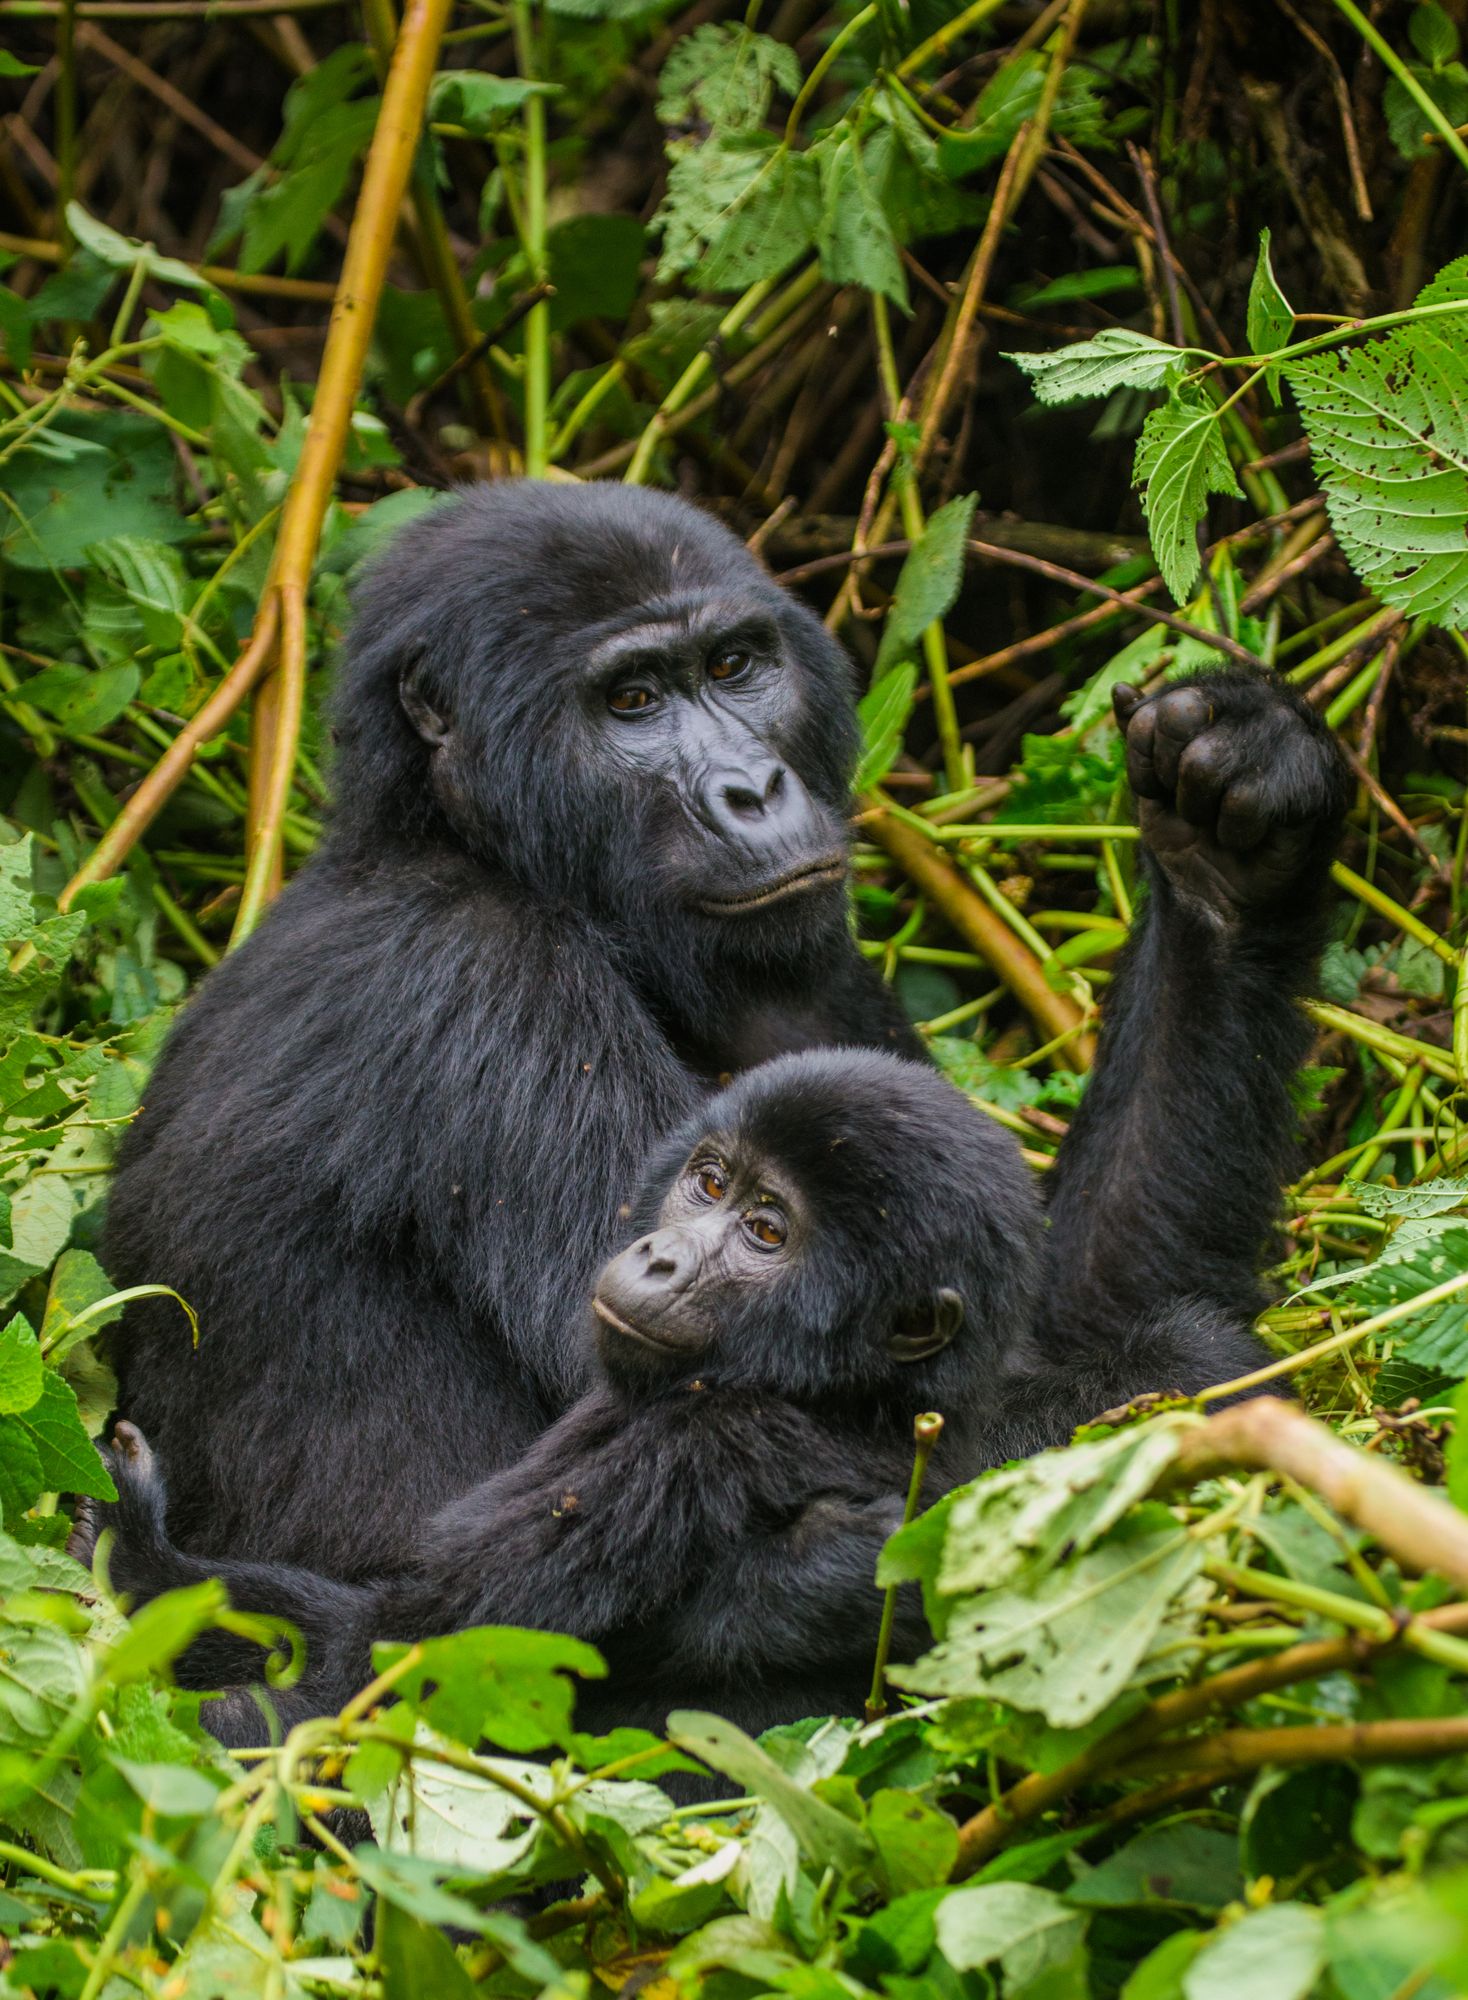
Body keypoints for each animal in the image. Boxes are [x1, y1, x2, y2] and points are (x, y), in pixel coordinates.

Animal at [86, 1048, 1056, 1752]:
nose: (659, 1257)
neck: (862, 1399)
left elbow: (385, 1664)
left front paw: (137, 1558)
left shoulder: (696, 1441)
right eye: (711, 1182)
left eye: (766, 1231)